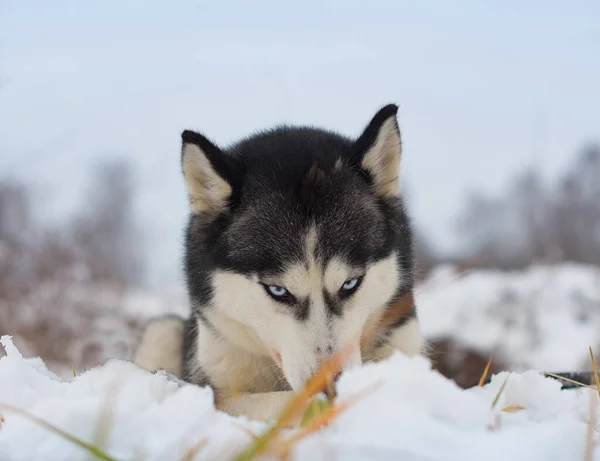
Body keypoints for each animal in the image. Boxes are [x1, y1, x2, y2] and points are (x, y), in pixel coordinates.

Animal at [136, 104, 424, 420]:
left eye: (350, 283)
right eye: (277, 290)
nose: (329, 385)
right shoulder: (218, 382)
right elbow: (277, 403)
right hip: (162, 331)